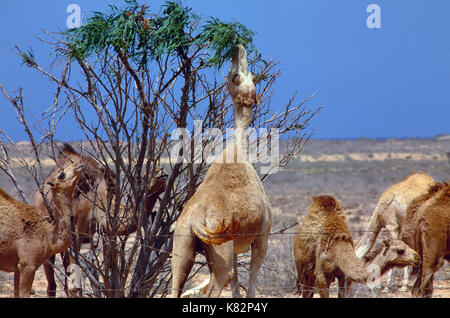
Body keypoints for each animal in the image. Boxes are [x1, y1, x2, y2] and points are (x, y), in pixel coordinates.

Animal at [33, 143, 167, 296]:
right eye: (146, 175)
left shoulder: (106, 229)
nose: (162, 171)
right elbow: (75, 285)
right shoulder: (76, 229)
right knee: (52, 283)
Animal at [171, 44, 270, 298]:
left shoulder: (235, 247)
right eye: (236, 76)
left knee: (176, 284)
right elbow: (251, 281)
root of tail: (195, 219)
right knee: (215, 285)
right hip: (220, 252)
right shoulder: (262, 238)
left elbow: (236, 284)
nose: (238, 48)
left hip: (182, 244)